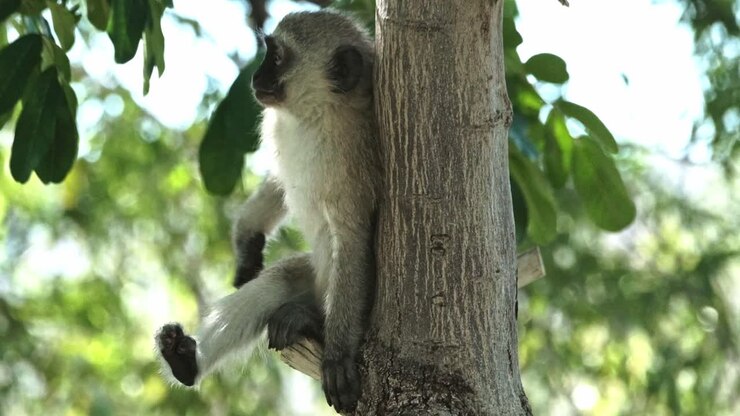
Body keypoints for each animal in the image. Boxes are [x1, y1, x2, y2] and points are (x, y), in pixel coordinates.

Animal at [155, 10, 379, 413]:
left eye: (276, 57)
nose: (255, 77)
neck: (315, 116)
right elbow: (277, 181)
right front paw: (247, 240)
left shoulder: (351, 163)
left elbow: (353, 240)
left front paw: (338, 356)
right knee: (276, 281)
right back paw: (185, 360)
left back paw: (313, 325)